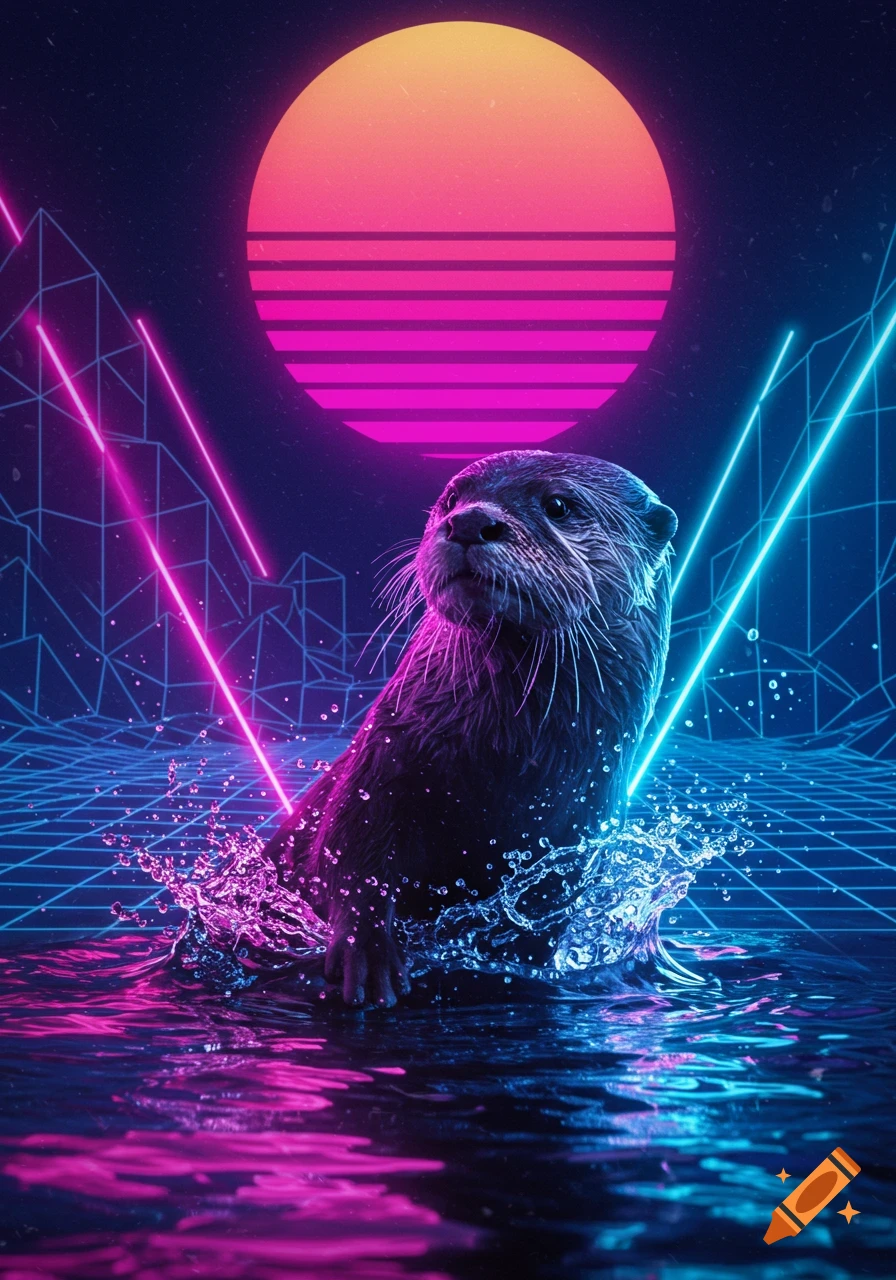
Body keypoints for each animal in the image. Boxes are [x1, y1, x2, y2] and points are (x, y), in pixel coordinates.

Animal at [263, 450, 677, 1006]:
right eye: (452, 499)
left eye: (559, 504)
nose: (469, 522)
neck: (499, 769)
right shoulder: (379, 765)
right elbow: (348, 857)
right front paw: (368, 955)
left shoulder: (582, 833)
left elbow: (537, 929)